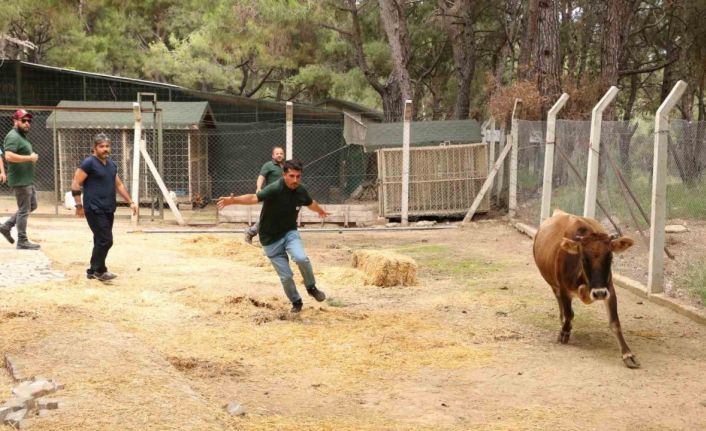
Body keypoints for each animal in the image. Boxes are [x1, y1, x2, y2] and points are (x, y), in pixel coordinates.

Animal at [532, 209, 640, 368]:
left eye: (610, 257)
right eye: (583, 258)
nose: (599, 293)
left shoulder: (609, 289)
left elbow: (615, 322)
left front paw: (628, 354)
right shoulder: (564, 289)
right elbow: (569, 314)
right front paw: (564, 333)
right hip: (553, 285)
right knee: (560, 304)